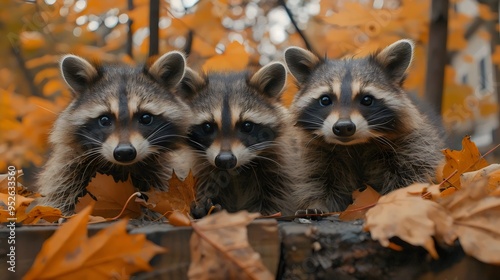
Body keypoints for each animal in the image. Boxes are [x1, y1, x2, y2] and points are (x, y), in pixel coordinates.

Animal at [37, 50, 189, 214]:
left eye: (146, 118)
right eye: (104, 119)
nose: (124, 152)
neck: (122, 167)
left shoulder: (166, 170)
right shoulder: (67, 169)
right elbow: (60, 198)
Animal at [179, 62, 304, 218]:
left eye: (247, 126)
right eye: (207, 127)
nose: (225, 160)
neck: (236, 172)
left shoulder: (282, 166)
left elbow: (279, 197)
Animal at [286, 38, 446, 210]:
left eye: (367, 100)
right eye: (325, 100)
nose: (343, 127)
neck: (355, 145)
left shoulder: (412, 142)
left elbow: (413, 171)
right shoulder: (314, 152)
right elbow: (315, 178)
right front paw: (319, 204)